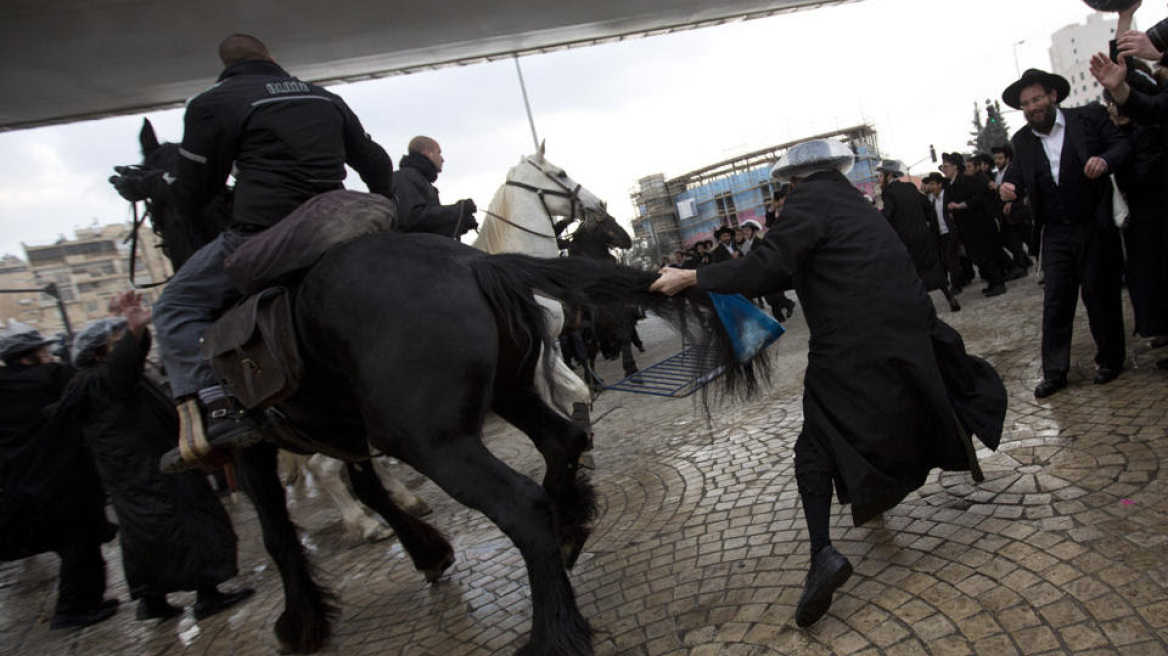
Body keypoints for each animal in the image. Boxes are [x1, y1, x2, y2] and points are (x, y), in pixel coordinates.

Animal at [111, 121, 766, 653]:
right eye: (555, 174)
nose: (607, 209)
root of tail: (477, 268)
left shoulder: (272, 443)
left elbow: (281, 531)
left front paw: (306, 619)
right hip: (436, 422)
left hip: (435, 431)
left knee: (527, 481)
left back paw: (549, 599)